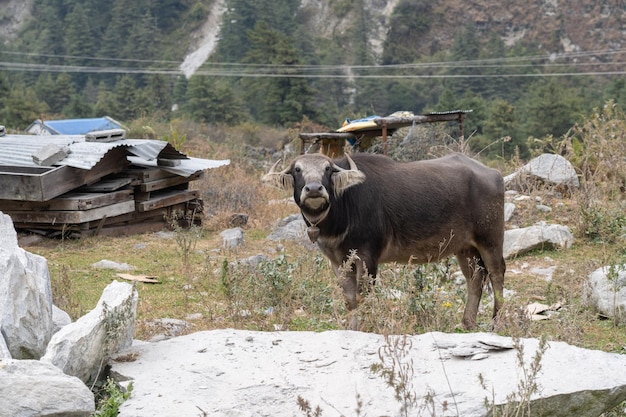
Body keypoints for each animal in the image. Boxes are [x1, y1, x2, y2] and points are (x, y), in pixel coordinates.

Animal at [260, 151, 504, 330]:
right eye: (297, 169)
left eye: (327, 169)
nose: (313, 189)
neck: (343, 210)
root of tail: (493, 174)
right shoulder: (338, 261)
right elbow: (349, 298)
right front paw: (353, 327)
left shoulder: (368, 257)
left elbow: (364, 294)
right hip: (465, 248)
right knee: (475, 278)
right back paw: (467, 322)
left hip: (490, 238)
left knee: (496, 274)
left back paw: (496, 323)